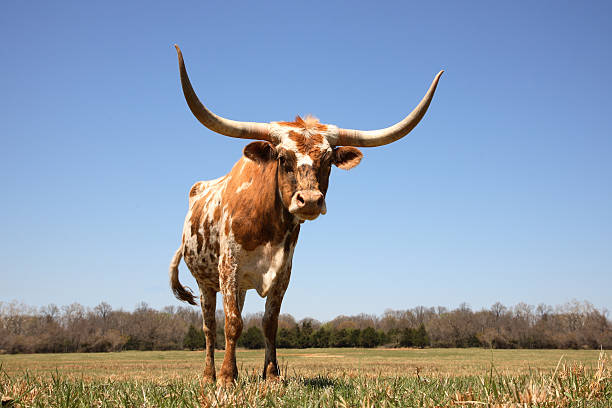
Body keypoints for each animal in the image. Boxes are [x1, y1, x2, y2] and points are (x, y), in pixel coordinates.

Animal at [169, 45, 444, 386]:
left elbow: (269, 323)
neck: (269, 227)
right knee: (209, 327)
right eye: (282, 158)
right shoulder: (229, 267)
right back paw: (209, 375)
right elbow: (232, 323)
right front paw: (227, 379)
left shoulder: (283, 273)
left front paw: (271, 376)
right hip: (206, 282)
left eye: (327, 160)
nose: (310, 200)